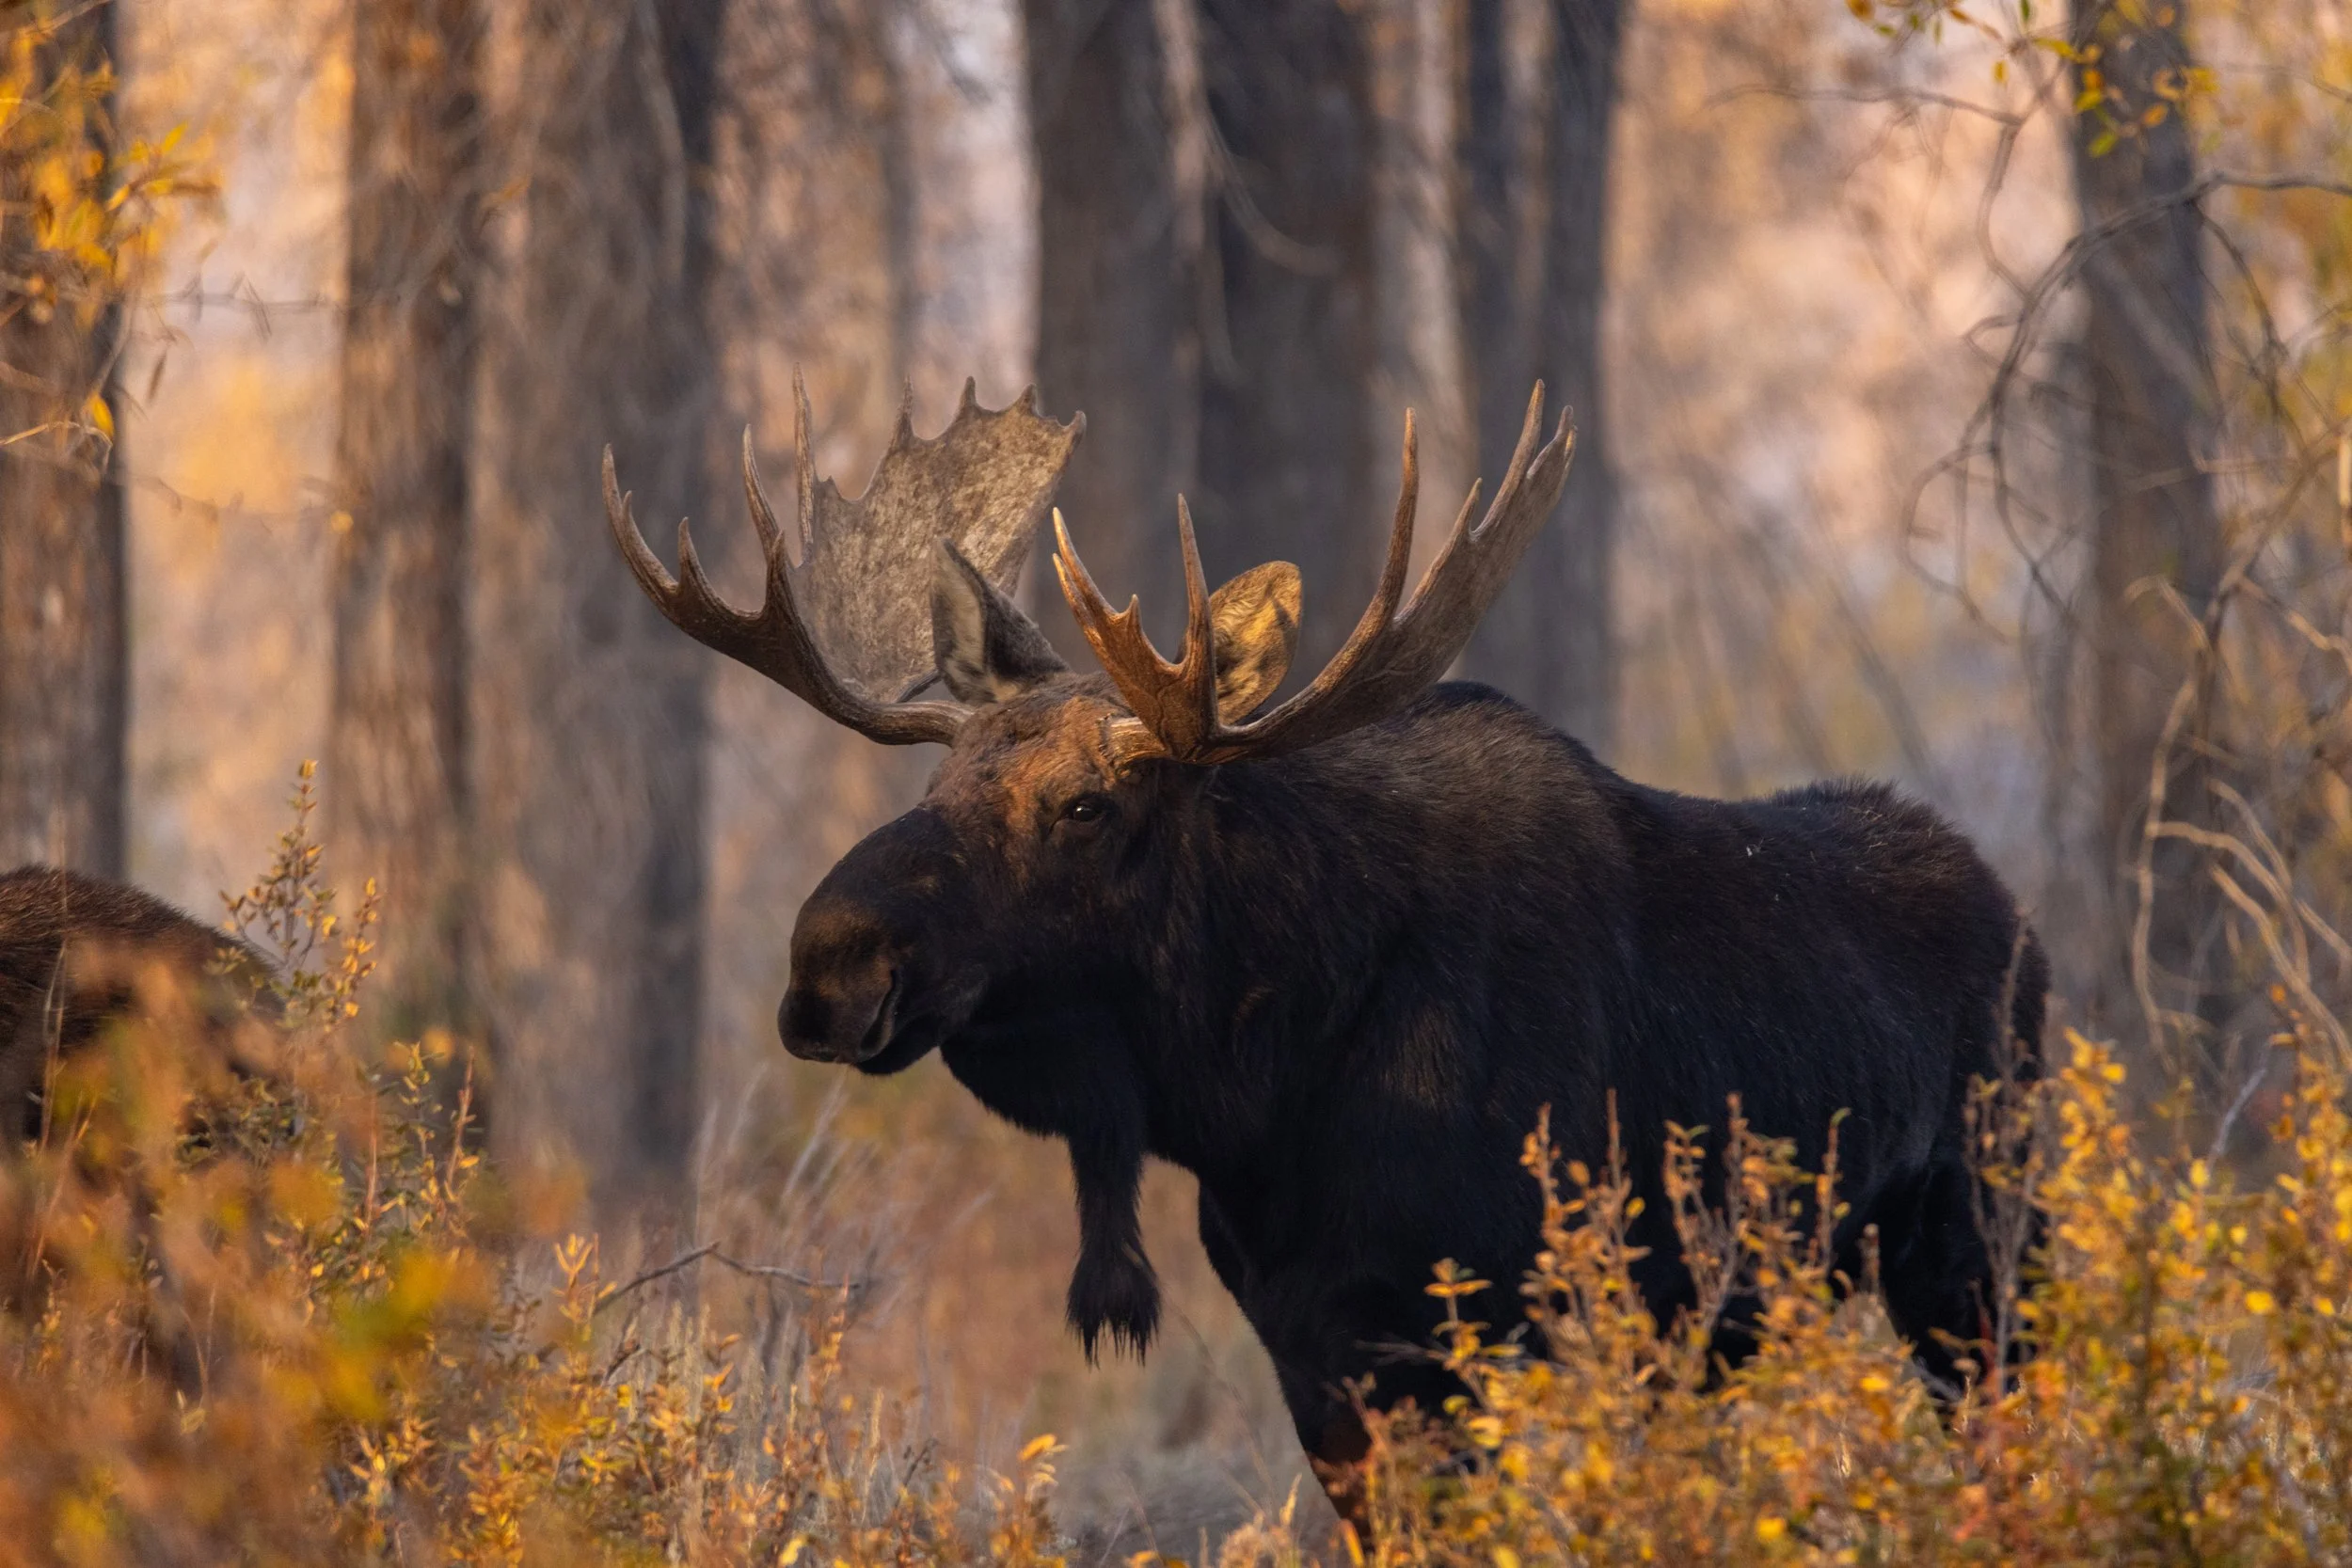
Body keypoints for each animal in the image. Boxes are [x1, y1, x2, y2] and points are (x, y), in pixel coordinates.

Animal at [606, 376, 2047, 1520]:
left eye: (1084, 805)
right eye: (934, 784)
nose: (828, 967)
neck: (1256, 1100)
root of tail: (2019, 913)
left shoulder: (1520, 1331)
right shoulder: (1319, 1353)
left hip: (1980, 1246)